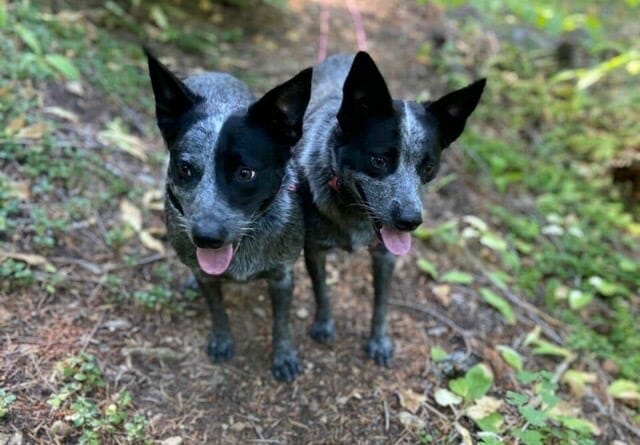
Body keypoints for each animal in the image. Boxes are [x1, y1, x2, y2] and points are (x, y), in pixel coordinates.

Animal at [146, 49, 316, 382]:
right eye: (185, 168)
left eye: (245, 173)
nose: (205, 238)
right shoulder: (205, 275)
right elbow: (217, 311)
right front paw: (222, 340)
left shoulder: (282, 276)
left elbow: (281, 323)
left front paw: (283, 357)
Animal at [296, 51, 484, 364]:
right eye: (379, 160)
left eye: (428, 167)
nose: (410, 221)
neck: (354, 212)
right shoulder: (313, 248)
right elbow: (320, 289)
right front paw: (324, 324)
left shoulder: (385, 256)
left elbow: (381, 303)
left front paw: (379, 341)